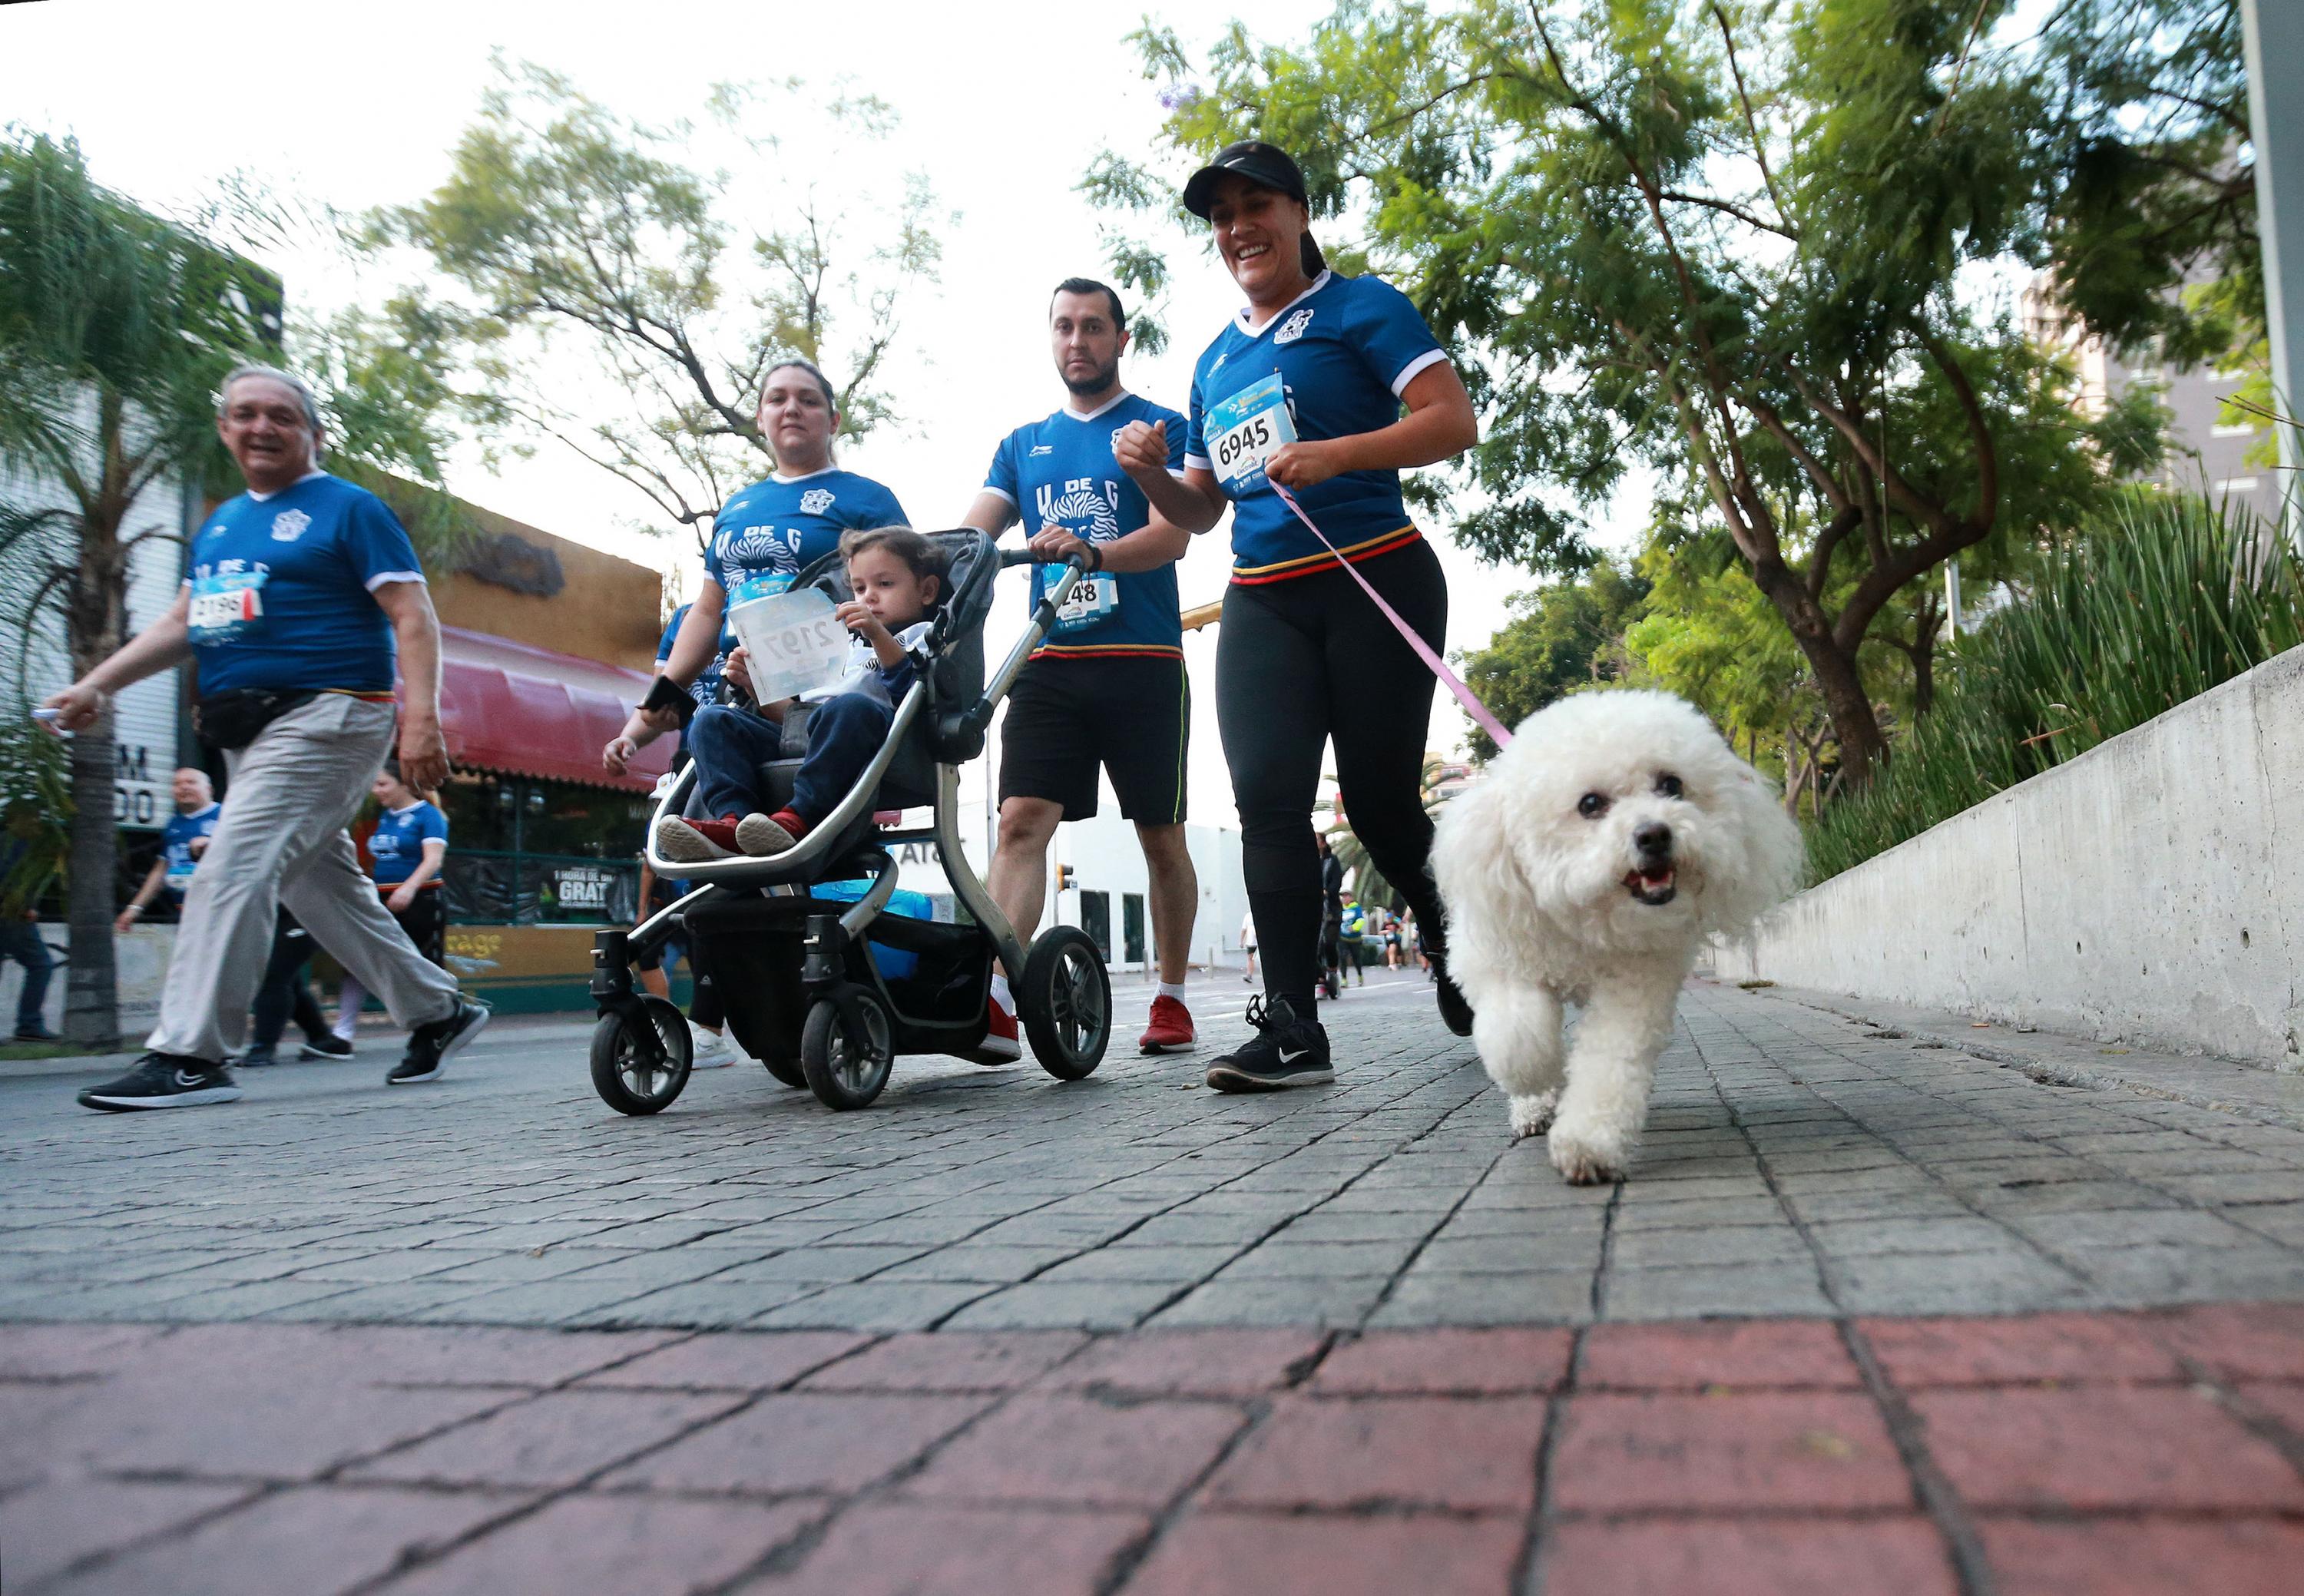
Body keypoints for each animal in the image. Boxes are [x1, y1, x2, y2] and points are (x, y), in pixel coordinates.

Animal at [1438, 686, 1797, 1179]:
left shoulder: (1636, 983)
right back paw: (1534, 1107)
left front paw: (1589, 1142)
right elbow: (1517, 1038)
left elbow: (1609, 1059)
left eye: (1671, 785)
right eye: (1590, 804)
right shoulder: (1496, 958)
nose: (1655, 834)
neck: (1588, 925)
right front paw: (1538, 1076)